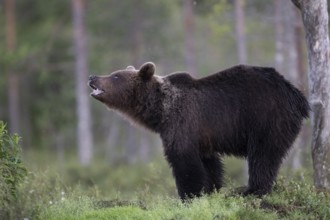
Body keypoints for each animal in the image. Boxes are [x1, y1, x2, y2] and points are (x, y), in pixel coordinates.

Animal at [88, 61, 310, 199]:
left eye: (116, 76)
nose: (92, 76)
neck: (160, 111)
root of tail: (296, 95)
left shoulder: (182, 124)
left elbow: (185, 163)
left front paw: (188, 196)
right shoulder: (203, 136)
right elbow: (209, 165)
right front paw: (210, 190)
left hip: (266, 118)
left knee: (263, 156)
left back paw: (251, 190)